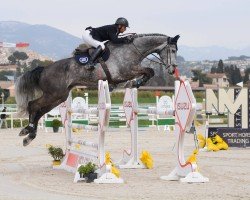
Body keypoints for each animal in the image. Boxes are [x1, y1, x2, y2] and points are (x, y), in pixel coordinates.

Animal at [15, 32, 180, 145]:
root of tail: (44, 69)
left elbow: (149, 72)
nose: (172, 69)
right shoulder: (124, 73)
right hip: (53, 94)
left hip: (59, 96)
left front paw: (136, 83)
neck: (132, 50)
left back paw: (29, 134)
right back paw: (28, 131)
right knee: (33, 105)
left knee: (40, 111)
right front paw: (135, 83)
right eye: (172, 51)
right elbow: (149, 71)